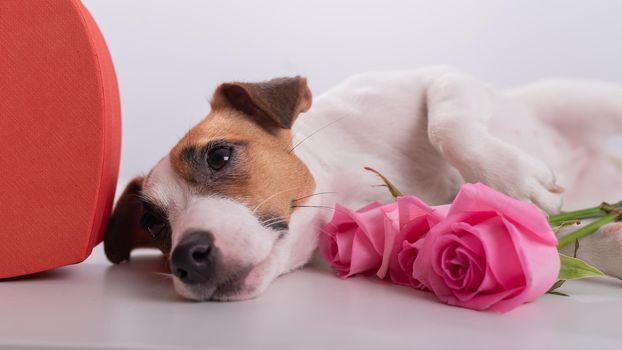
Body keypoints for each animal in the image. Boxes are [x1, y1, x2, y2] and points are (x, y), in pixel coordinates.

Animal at [105, 67, 622, 302]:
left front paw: (517, 179)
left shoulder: (440, 79)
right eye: (152, 223)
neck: (345, 180)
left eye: (218, 155)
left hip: (586, 100)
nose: (186, 257)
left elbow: (447, 125)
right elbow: (562, 243)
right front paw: (606, 244)